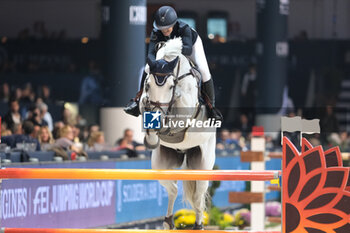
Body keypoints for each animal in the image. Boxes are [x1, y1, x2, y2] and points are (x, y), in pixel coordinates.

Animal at [139, 37, 216, 228]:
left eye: (170, 86)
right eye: (147, 84)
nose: (159, 115)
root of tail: (185, 151)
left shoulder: (187, 108)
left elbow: (180, 106)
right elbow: (144, 105)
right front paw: (152, 136)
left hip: (203, 164)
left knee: (198, 196)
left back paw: (198, 225)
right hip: (160, 164)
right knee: (173, 189)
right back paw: (168, 222)